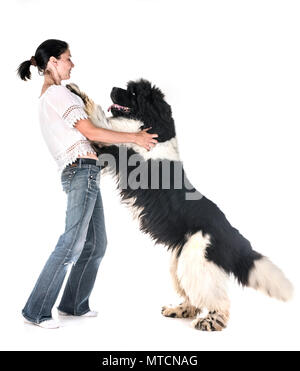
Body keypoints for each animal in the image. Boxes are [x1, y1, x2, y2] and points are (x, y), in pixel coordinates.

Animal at [67, 80, 292, 332]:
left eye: (133, 92)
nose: (114, 88)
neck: (153, 128)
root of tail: (229, 230)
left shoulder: (123, 151)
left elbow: (100, 124)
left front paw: (78, 92)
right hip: (180, 261)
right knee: (192, 296)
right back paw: (179, 310)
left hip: (196, 261)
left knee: (217, 299)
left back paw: (210, 321)